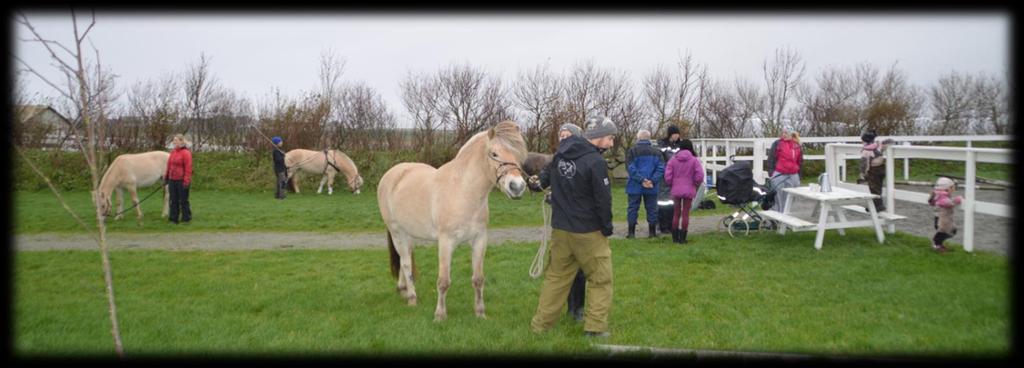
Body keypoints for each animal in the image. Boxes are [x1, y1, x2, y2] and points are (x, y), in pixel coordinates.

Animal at [380, 121, 532, 323]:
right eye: (494, 153)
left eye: (518, 155)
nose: (517, 187)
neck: (463, 190)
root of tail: (392, 173)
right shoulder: (446, 242)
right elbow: (443, 281)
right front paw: (440, 315)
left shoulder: (480, 240)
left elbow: (478, 279)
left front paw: (480, 312)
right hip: (397, 232)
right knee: (405, 263)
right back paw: (412, 298)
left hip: (408, 233)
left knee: (407, 260)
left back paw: (404, 290)